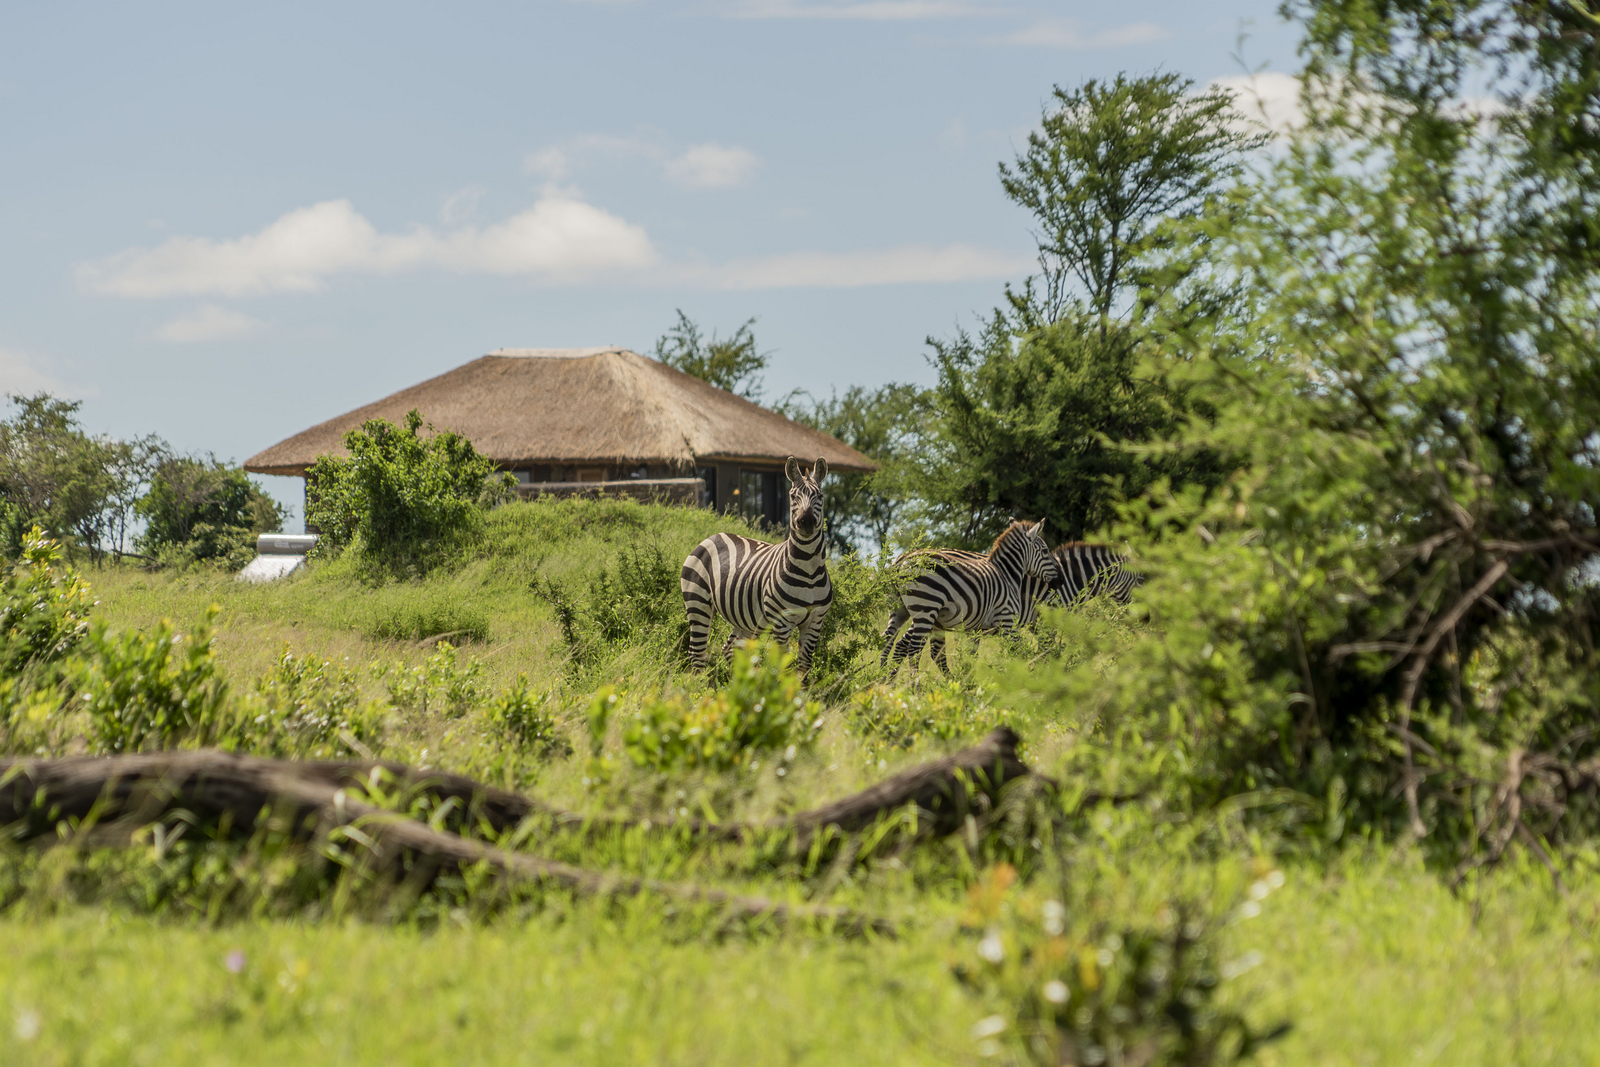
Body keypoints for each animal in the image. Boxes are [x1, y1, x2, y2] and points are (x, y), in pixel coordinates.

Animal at [680, 457, 832, 677]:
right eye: (793, 496)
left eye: (819, 495)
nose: (806, 522)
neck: (809, 571)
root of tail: (713, 536)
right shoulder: (782, 622)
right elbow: (783, 667)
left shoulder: (815, 622)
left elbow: (803, 668)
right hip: (698, 601)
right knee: (697, 653)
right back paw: (699, 686)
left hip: (743, 618)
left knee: (729, 649)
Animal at [880, 519, 1065, 674]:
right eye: (1045, 551)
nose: (1061, 580)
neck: (1006, 574)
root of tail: (902, 562)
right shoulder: (1007, 620)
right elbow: (1017, 653)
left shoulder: (974, 629)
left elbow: (970, 657)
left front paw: (967, 684)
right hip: (925, 609)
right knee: (914, 650)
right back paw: (914, 687)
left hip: (899, 609)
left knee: (887, 640)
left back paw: (884, 681)